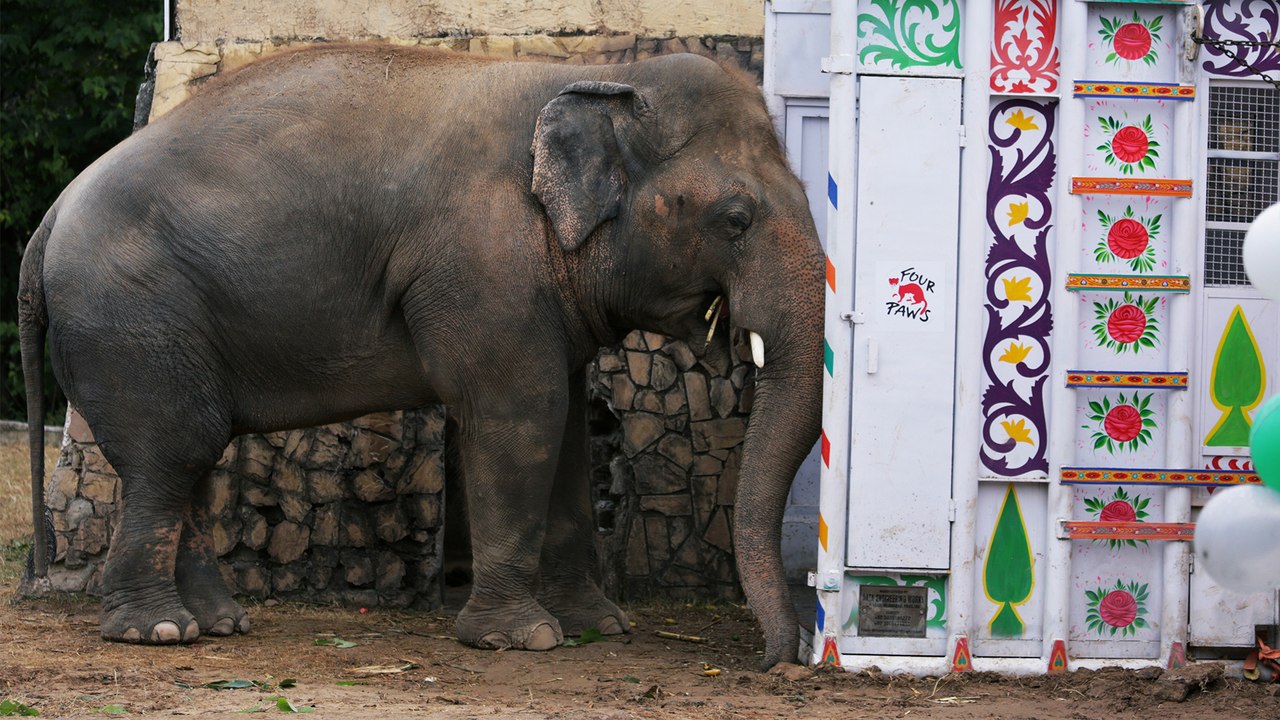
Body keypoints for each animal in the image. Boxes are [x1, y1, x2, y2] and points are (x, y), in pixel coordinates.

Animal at [17, 44, 824, 669]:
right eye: (735, 220)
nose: (771, 661)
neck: (598, 76)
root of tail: (49, 217)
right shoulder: (482, 264)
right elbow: (521, 416)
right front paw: (520, 640)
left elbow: (565, 428)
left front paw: (598, 627)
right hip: (131, 315)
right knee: (172, 452)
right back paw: (156, 631)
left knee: (187, 455)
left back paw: (219, 623)